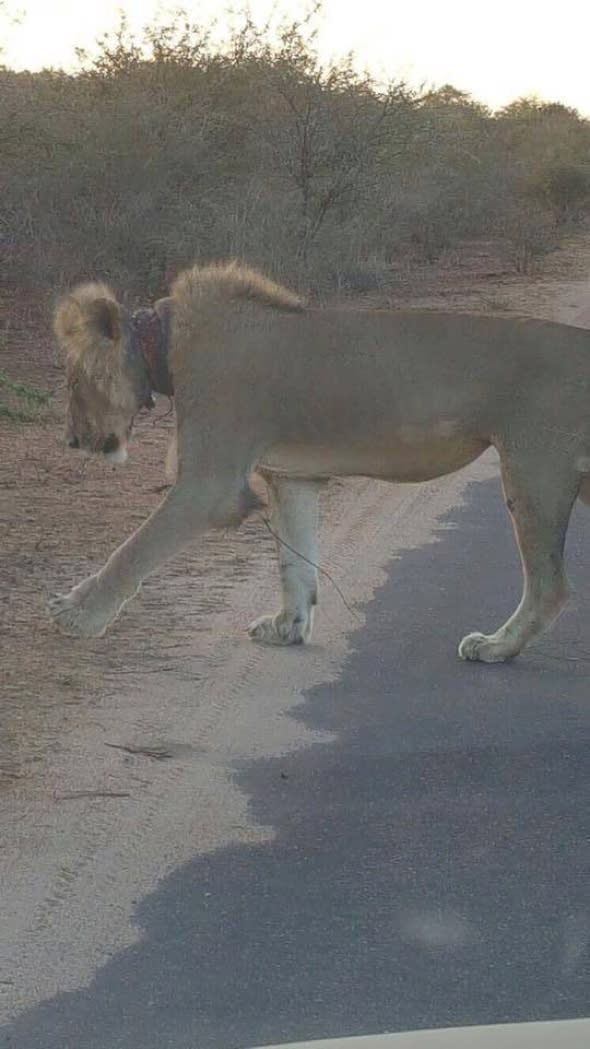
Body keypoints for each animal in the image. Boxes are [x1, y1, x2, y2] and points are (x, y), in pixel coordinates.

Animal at [48, 260, 587, 662]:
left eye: (73, 382)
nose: (72, 440)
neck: (163, 343)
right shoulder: (293, 478)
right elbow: (296, 560)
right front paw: (288, 626)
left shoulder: (210, 485)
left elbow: (134, 550)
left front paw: (78, 612)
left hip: (534, 469)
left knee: (551, 584)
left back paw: (496, 646)